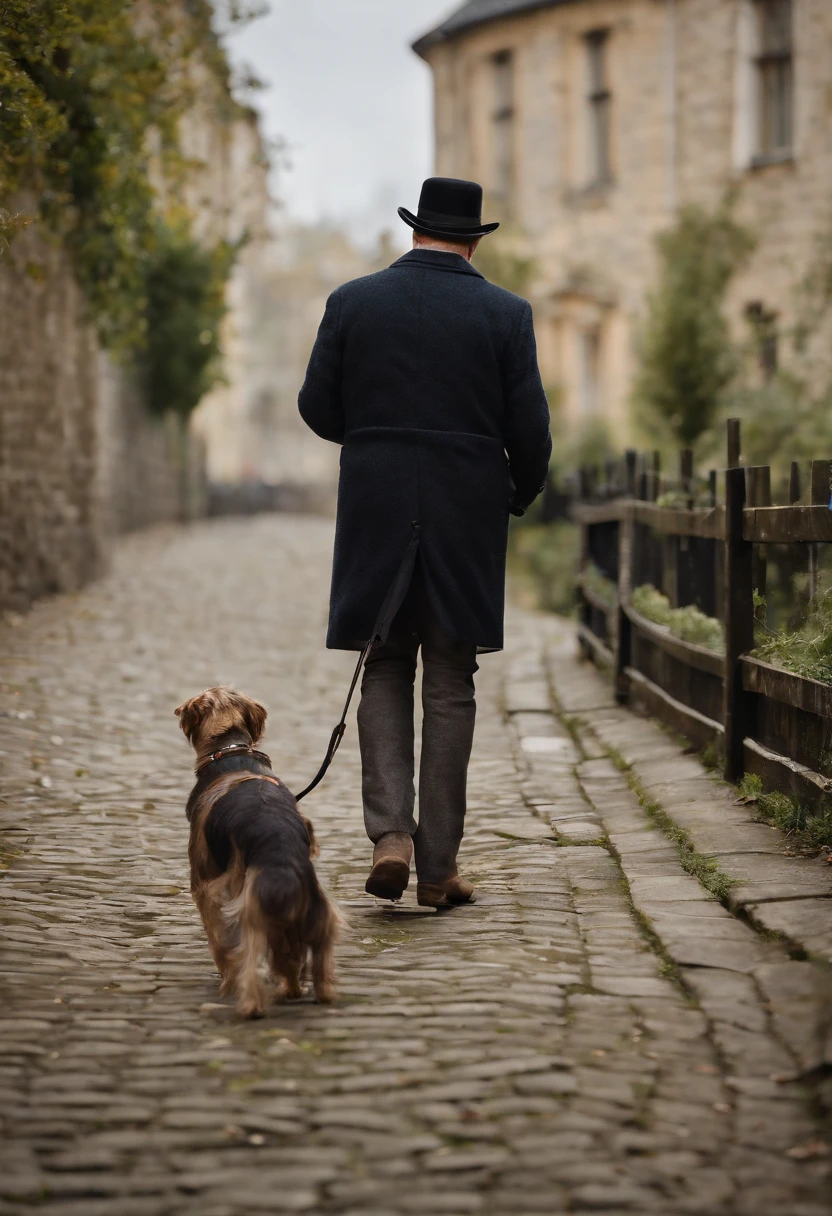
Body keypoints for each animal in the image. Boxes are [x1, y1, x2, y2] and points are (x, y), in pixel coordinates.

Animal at [177, 685, 340, 1016]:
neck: (232, 754)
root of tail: (283, 863)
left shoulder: (204, 885)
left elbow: (218, 941)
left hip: (249, 915)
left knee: (248, 960)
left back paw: (249, 1003)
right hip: (317, 917)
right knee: (301, 963)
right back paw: (300, 990)